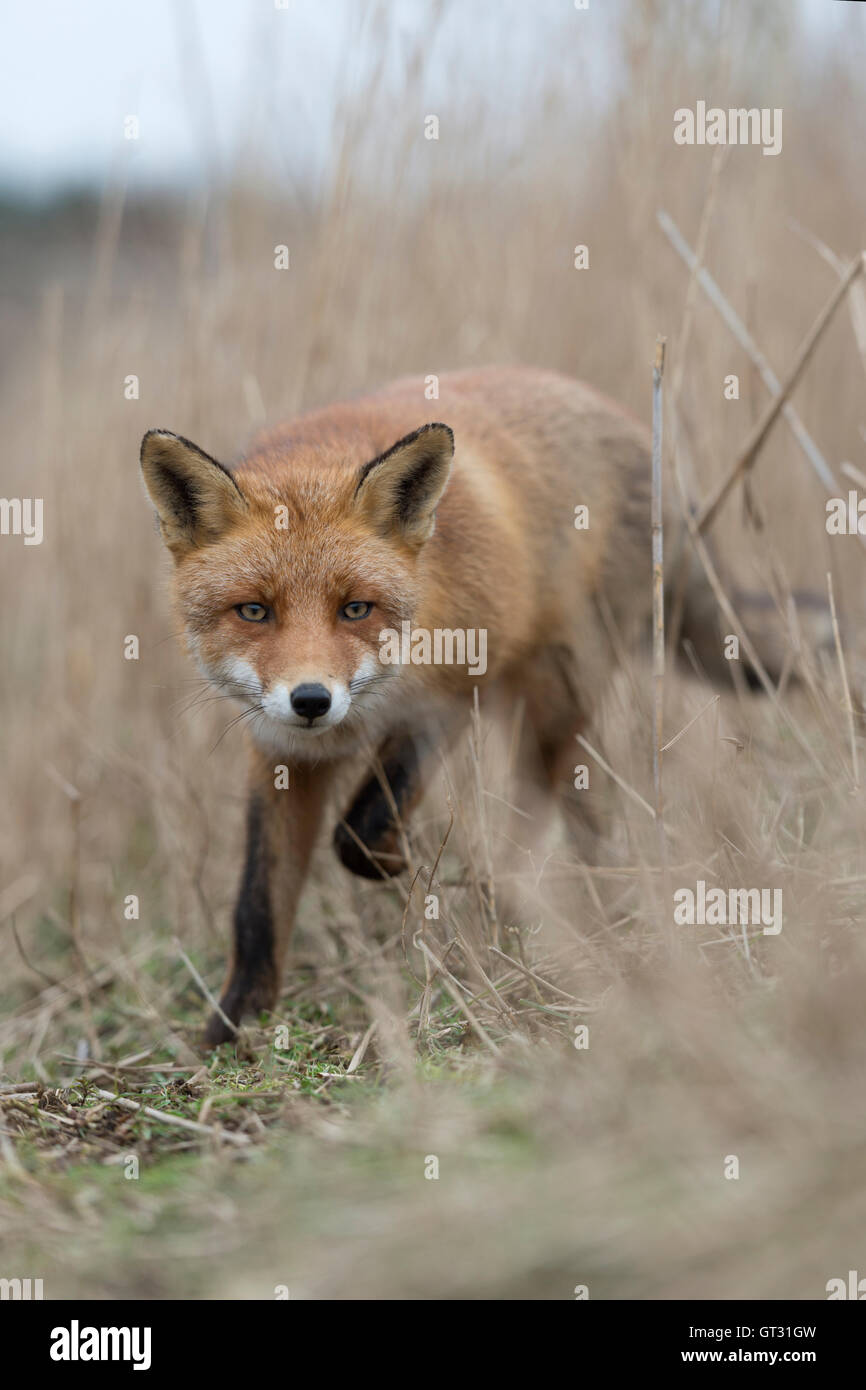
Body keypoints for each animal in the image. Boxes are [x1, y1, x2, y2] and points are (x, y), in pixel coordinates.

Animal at [140, 366, 828, 1045]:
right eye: (254, 611)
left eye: (355, 608)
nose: (312, 699)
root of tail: (627, 422)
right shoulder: (280, 752)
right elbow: (257, 903)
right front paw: (233, 1027)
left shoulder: (446, 700)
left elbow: (360, 830)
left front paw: (400, 862)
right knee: (583, 804)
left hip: (555, 689)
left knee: (535, 807)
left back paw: (517, 902)